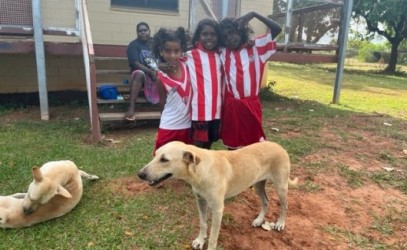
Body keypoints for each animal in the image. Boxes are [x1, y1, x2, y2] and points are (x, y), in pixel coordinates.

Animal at [138, 141, 300, 250]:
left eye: (164, 159)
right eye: (155, 155)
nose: (140, 174)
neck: (200, 170)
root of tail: (278, 145)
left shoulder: (217, 209)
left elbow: (213, 236)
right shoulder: (200, 201)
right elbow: (203, 224)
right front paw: (200, 241)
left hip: (281, 186)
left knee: (284, 205)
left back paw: (280, 223)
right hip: (258, 185)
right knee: (266, 201)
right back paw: (259, 220)